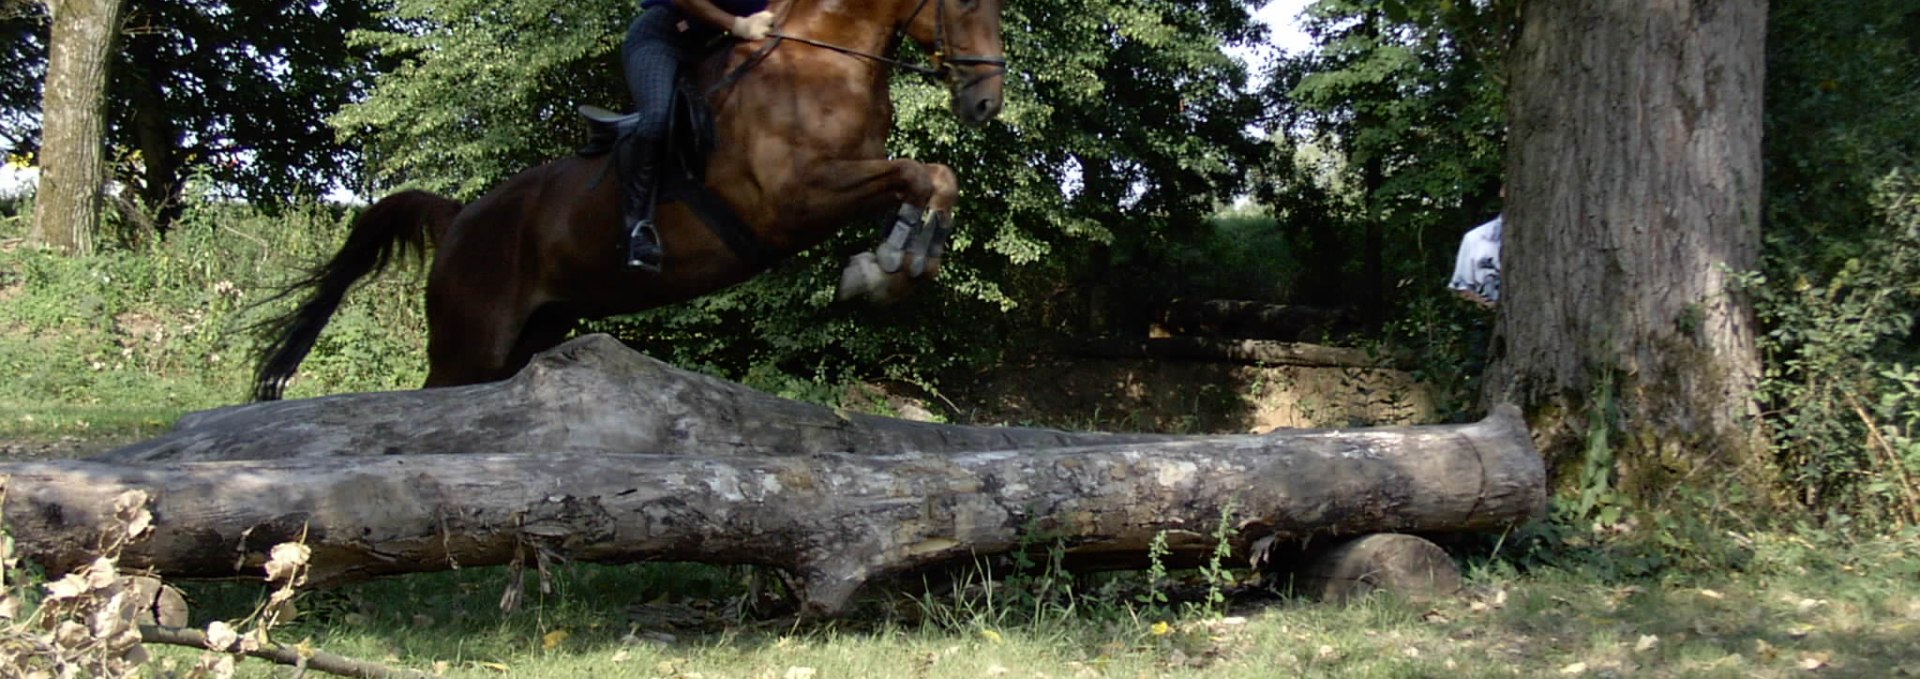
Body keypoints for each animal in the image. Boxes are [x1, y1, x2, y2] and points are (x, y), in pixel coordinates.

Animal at [249, 0, 1013, 400]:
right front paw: (882, 268)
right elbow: (924, 173)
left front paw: (889, 266)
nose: (985, 102)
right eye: (965, 2)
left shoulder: (852, 175)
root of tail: (460, 216)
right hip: (470, 343)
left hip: (533, 331)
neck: (826, 57)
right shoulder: (791, 199)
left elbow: (932, 178)